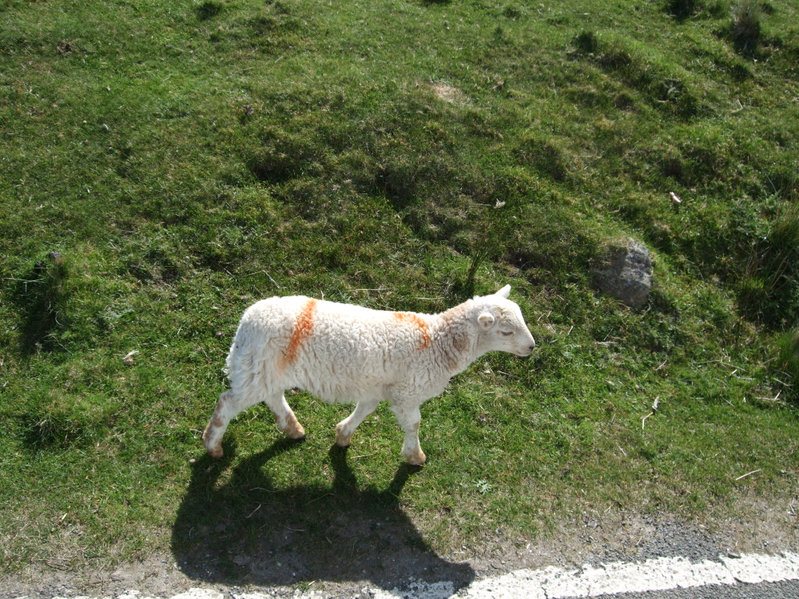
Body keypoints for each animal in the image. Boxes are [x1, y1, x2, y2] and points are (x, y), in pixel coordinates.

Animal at [202, 285, 535, 465]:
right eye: (506, 331)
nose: (532, 347)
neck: (438, 341)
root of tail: (246, 323)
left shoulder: (377, 386)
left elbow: (365, 410)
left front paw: (343, 434)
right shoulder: (407, 391)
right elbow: (414, 423)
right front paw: (415, 456)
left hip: (266, 368)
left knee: (272, 396)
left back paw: (293, 428)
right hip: (257, 367)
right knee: (228, 402)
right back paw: (212, 444)